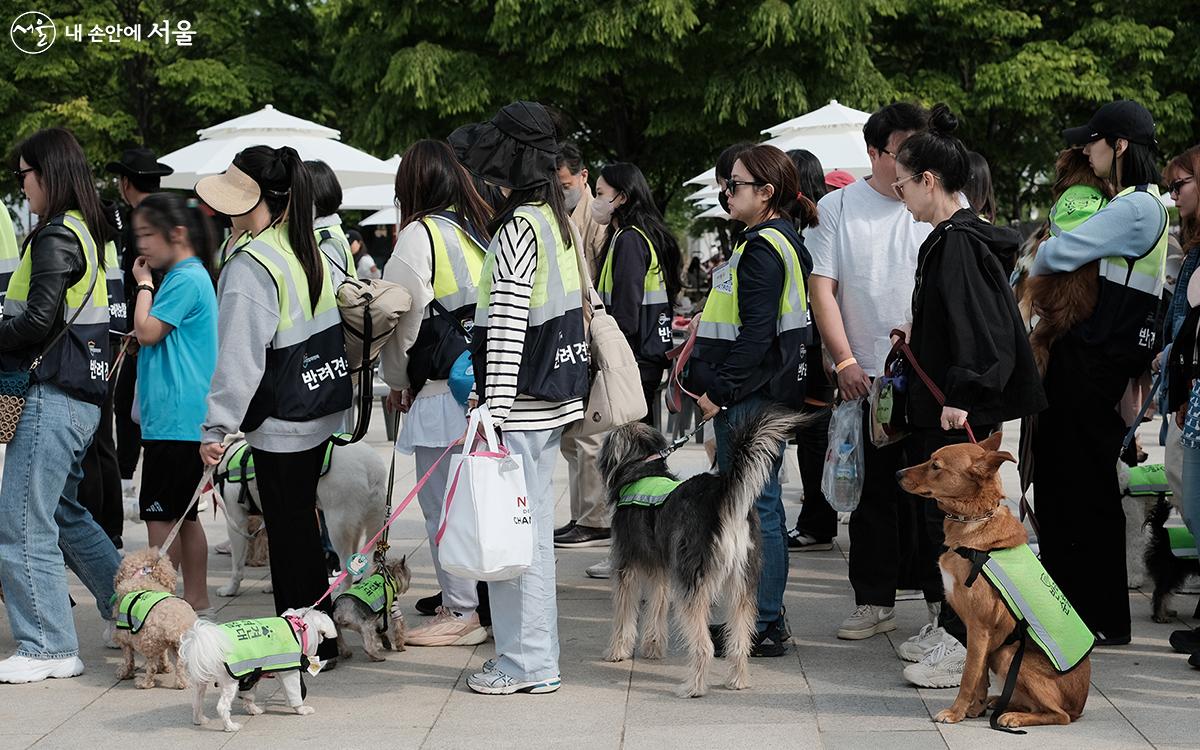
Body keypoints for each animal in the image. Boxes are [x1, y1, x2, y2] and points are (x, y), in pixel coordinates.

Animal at [112, 547, 199, 686]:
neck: (143, 578)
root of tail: (174, 625)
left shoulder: (124, 638)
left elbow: (128, 658)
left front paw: (125, 673)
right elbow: (163, 655)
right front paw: (164, 667)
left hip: (146, 642)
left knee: (151, 666)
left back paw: (144, 683)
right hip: (179, 646)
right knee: (180, 665)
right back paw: (182, 683)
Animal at [175, 602, 333, 729]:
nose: (321, 639)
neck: (297, 628)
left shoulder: (252, 673)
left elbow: (249, 695)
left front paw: (253, 710)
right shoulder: (289, 673)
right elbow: (294, 693)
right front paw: (301, 710)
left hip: (201, 679)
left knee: (196, 702)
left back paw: (199, 720)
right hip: (229, 681)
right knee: (222, 707)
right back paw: (230, 727)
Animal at [213, 439, 386, 597]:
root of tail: (372, 468)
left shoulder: (236, 522)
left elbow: (237, 565)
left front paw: (230, 589)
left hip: (337, 526)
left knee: (346, 564)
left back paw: (341, 591)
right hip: (360, 524)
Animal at [597, 405, 806, 700]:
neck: (642, 471)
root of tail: (725, 500)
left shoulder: (627, 566)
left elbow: (624, 613)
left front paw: (617, 651)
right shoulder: (662, 569)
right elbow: (657, 605)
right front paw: (652, 647)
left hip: (692, 583)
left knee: (704, 646)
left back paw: (694, 687)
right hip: (742, 582)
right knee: (740, 639)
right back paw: (738, 680)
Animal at [897, 432, 1094, 729]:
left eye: (936, 465)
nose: (897, 473)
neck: (973, 523)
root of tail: (1080, 706)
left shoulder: (979, 627)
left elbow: (968, 676)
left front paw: (955, 712)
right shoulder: (978, 634)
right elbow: (978, 676)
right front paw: (974, 708)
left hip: (1010, 655)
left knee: (1059, 715)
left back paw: (1014, 716)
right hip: (1002, 653)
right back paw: (1000, 703)